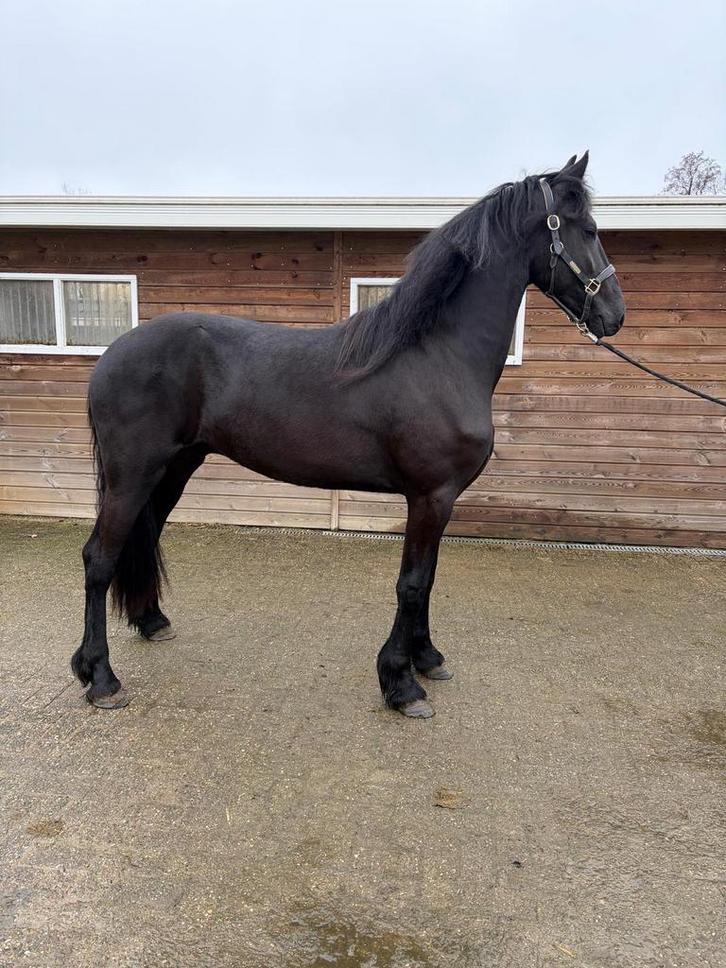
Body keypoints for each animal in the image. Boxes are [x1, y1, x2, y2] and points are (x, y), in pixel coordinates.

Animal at [71, 152, 625, 717]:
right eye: (587, 229)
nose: (614, 315)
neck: (439, 357)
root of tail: (110, 355)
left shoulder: (441, 500)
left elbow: (428, 581)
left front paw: (426, 659)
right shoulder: (430, 497)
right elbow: (412, 584)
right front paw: (401, 684)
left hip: (175, 468)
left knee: (143, 537)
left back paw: (151, 623)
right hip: (133, 475)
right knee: (99, 558)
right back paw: (100, 677)